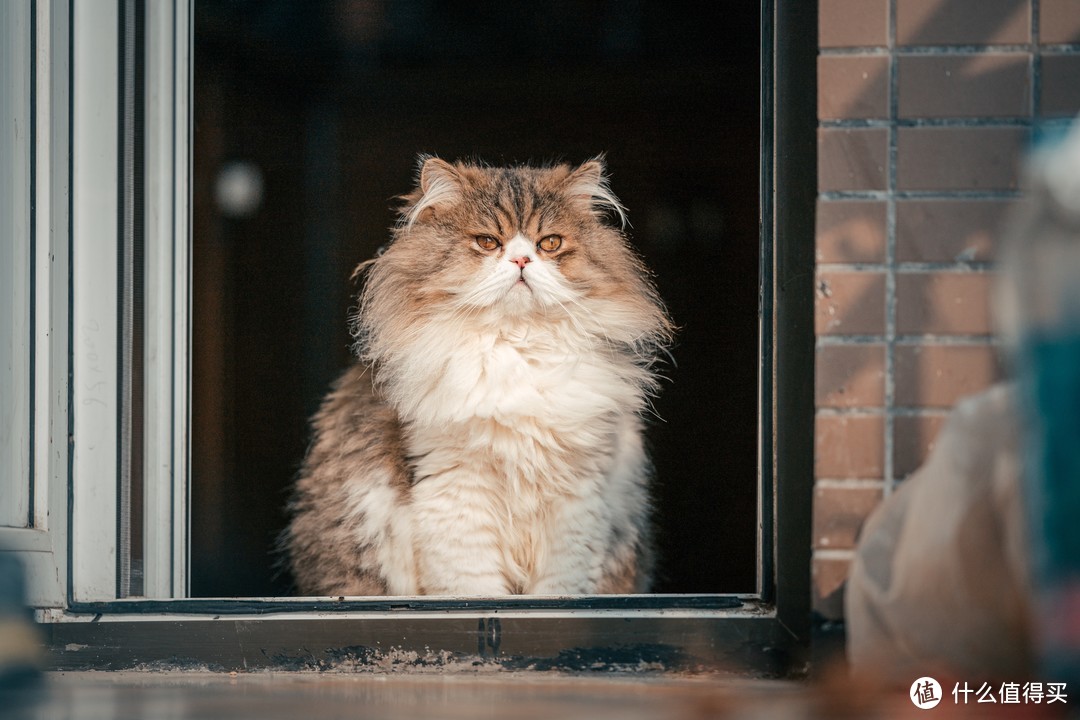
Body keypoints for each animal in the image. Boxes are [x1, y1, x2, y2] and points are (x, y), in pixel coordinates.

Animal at [285, 156, 673, 595]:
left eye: (549, 244)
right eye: (488, 242)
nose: (521, 261)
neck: (517, 349)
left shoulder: (578, 501)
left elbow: (558, 591)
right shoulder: (455, 490)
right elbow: (475, 590)